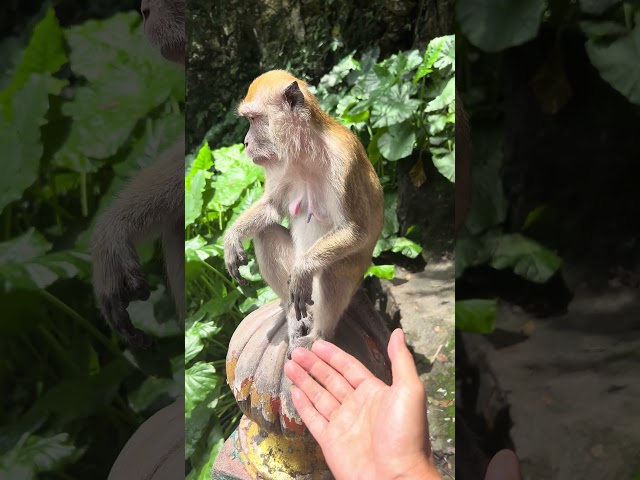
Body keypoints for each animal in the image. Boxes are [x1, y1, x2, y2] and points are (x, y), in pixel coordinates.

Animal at [224, 70, 384, 357]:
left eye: (253, 119)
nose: (246, 143)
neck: (307, 152)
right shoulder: (280, 166)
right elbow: (272, 208)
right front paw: (232, 237)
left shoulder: (345, 161)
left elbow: (356, 230)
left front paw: (304, 270)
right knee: (265, 235)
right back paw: (291, 314)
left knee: (332, 269)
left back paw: (319, 335)